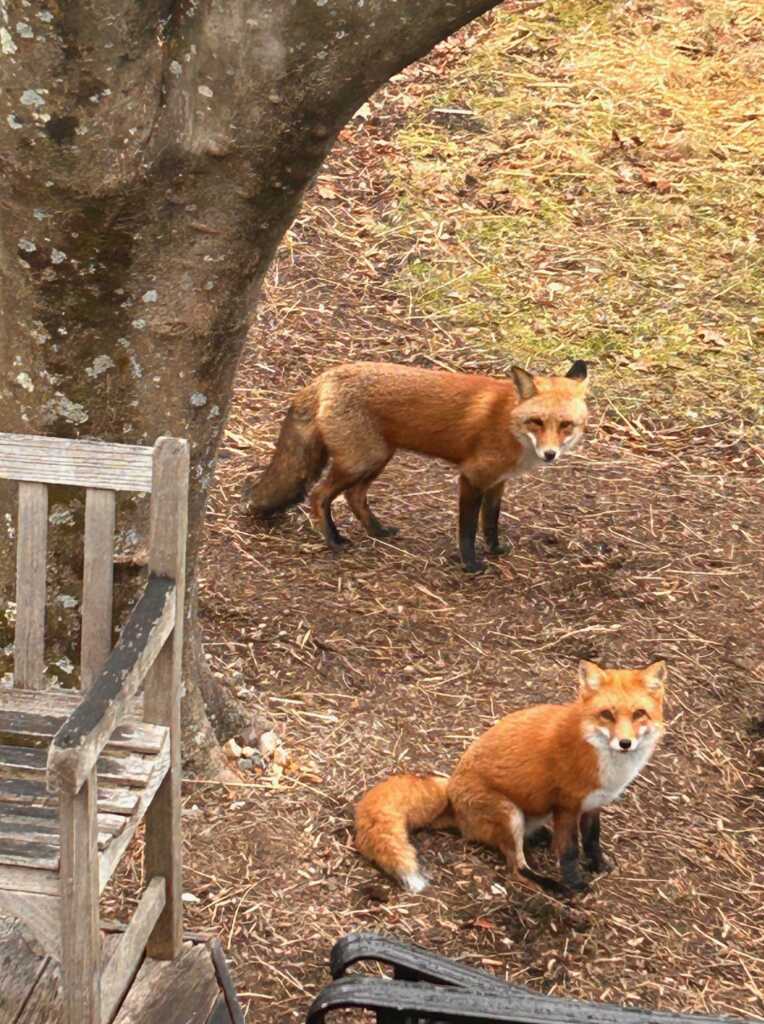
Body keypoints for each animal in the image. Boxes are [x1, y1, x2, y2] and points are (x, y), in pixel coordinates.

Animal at [240, 359, 589, 572]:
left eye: (566, 425)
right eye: (537, 422)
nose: (550, 454)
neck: (509, 422)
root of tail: (324, 377)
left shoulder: (497, 481)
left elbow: (490, 522)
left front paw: (495, 549)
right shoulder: (472, 477)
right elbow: (467, 529)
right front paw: (471, 565)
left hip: (378, 458)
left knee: (354, 497)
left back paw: (378, 531)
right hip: (361, 460)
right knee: (319, 495)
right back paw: (334, 540)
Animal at [355, 659, 667, 897]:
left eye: (639, 714)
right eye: (607, 715)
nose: (625, 743)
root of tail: (451, 792)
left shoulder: (593, 804)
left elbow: (592, 839)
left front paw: (599, 865)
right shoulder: (566, 805)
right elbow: (569, 851)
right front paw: (575, 884)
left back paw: (541, 837)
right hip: (509, 813)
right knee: (516, 867)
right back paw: (552, 885)